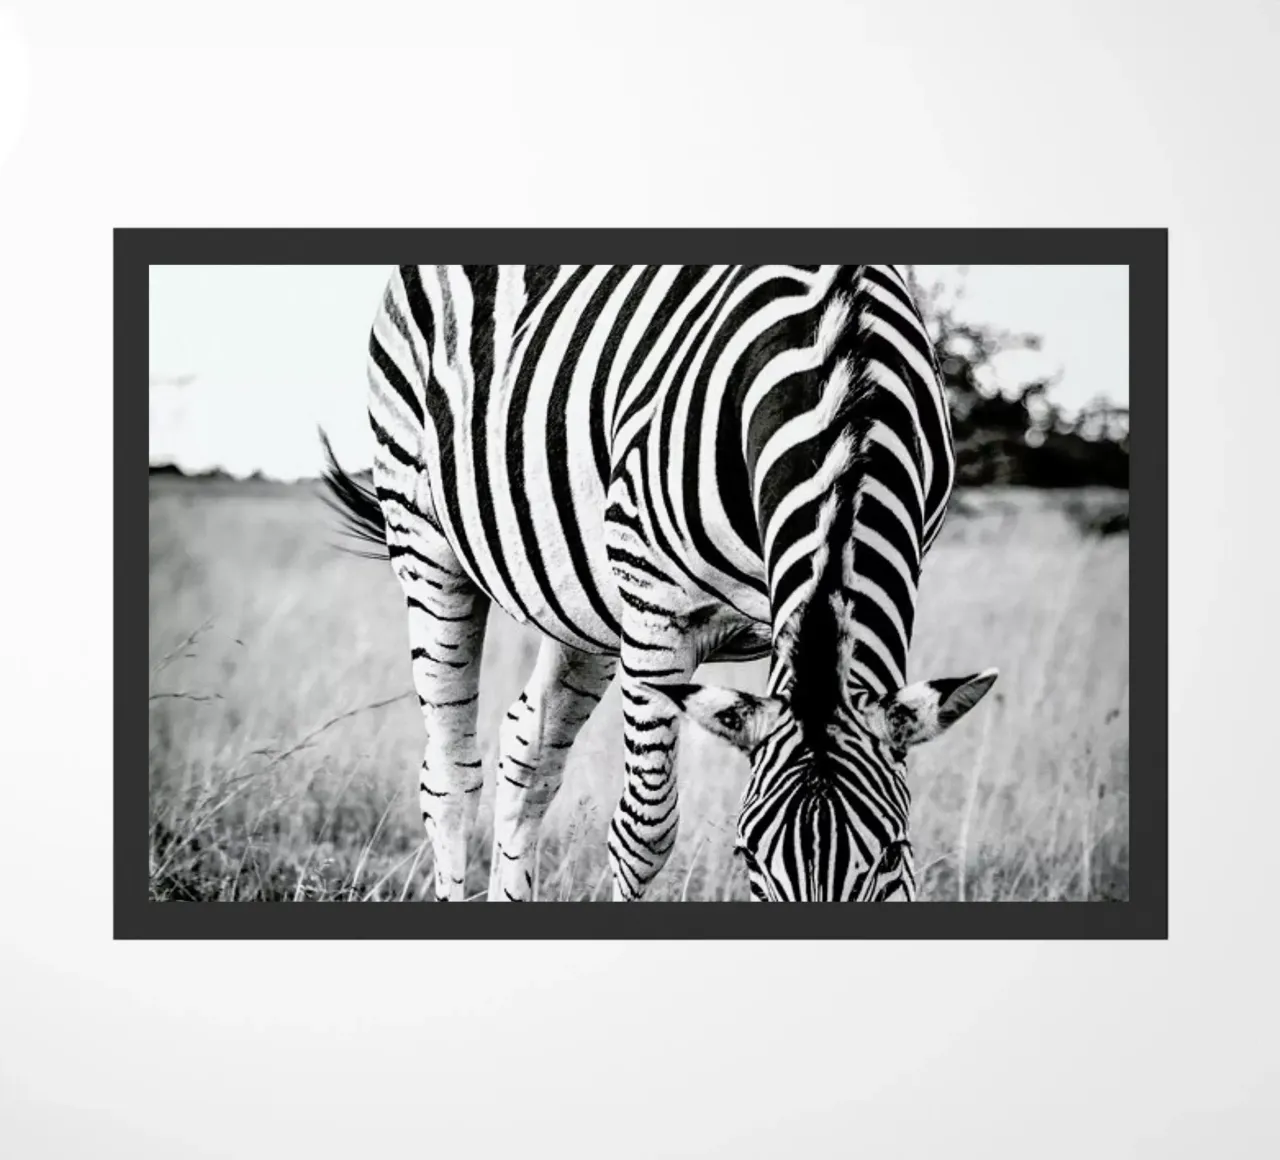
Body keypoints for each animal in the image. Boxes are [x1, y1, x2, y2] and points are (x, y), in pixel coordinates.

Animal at [321, 264, 998, 902]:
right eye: (747, 856)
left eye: (892, 854)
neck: (844, 370)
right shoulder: (655, 610)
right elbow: (642, 831)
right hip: (426, 539)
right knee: (450, 777)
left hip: (584, 603)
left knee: (528, 752)